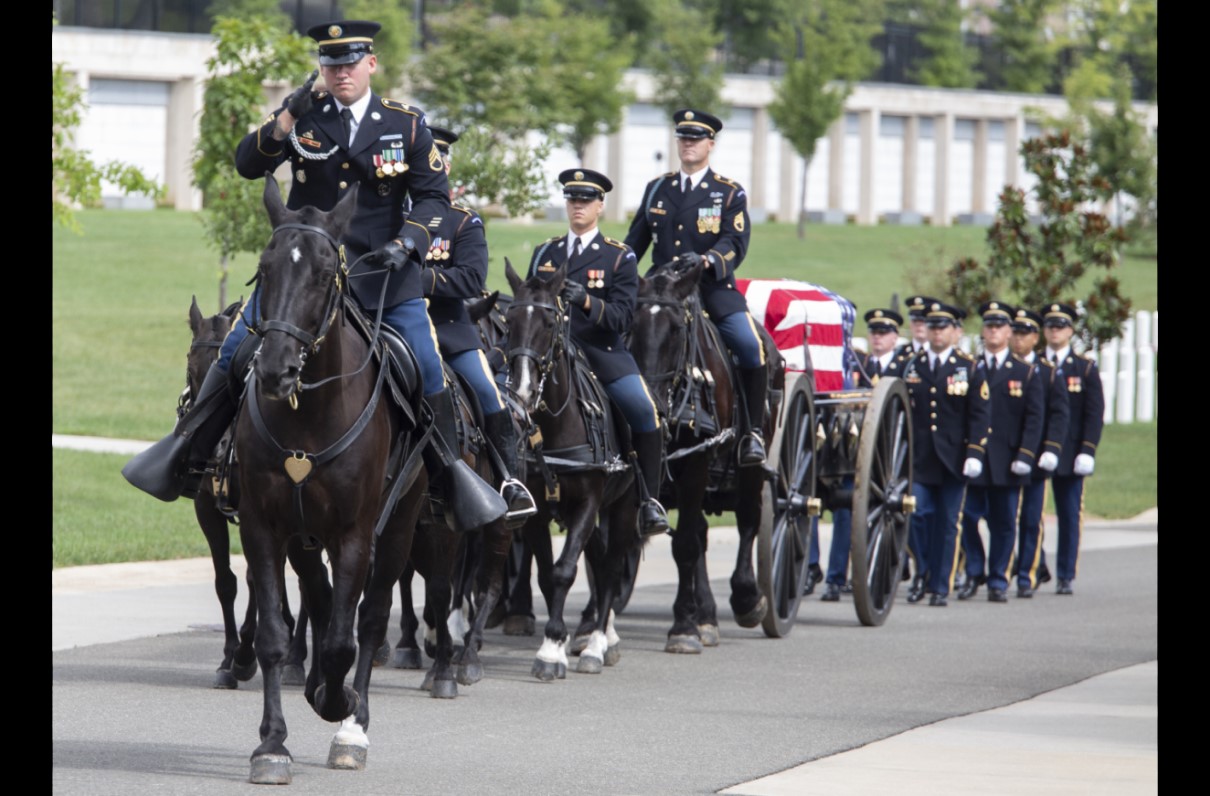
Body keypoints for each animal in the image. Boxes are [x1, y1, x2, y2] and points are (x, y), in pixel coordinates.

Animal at [233, 174, 459, 779]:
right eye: (265, 269)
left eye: (320, 273)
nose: (275, 369)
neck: (308, 413)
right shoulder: (263, 527)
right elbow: (274, 635)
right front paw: (272, 743)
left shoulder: (358, 534)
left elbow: (346, 638)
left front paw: (342, 709)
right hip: (306, 536)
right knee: (319, 597)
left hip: (400, 524)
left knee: (372, 616)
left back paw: (352, 722)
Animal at [500, 258, 643, 677]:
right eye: (509, 319)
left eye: (550, 323)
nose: (522, 390)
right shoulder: (537, 512)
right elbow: (549, 576)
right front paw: (556, 642)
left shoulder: (588, 503)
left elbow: (566, 570)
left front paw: (551, 649)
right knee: (598, 560)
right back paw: (595, 632)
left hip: (624, 506)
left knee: (610, 567)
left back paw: (598, 642)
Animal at [629, 260, 779, 653]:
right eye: (631, 325)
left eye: (676, 329)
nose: (651, 403)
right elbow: (687, 540)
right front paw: (692, 620)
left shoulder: (697, 462)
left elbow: (685, 544)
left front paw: (683, 627)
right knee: (701, 532)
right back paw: (708, 615)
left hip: (751, 463)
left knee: (748, 517)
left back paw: (747, 598)